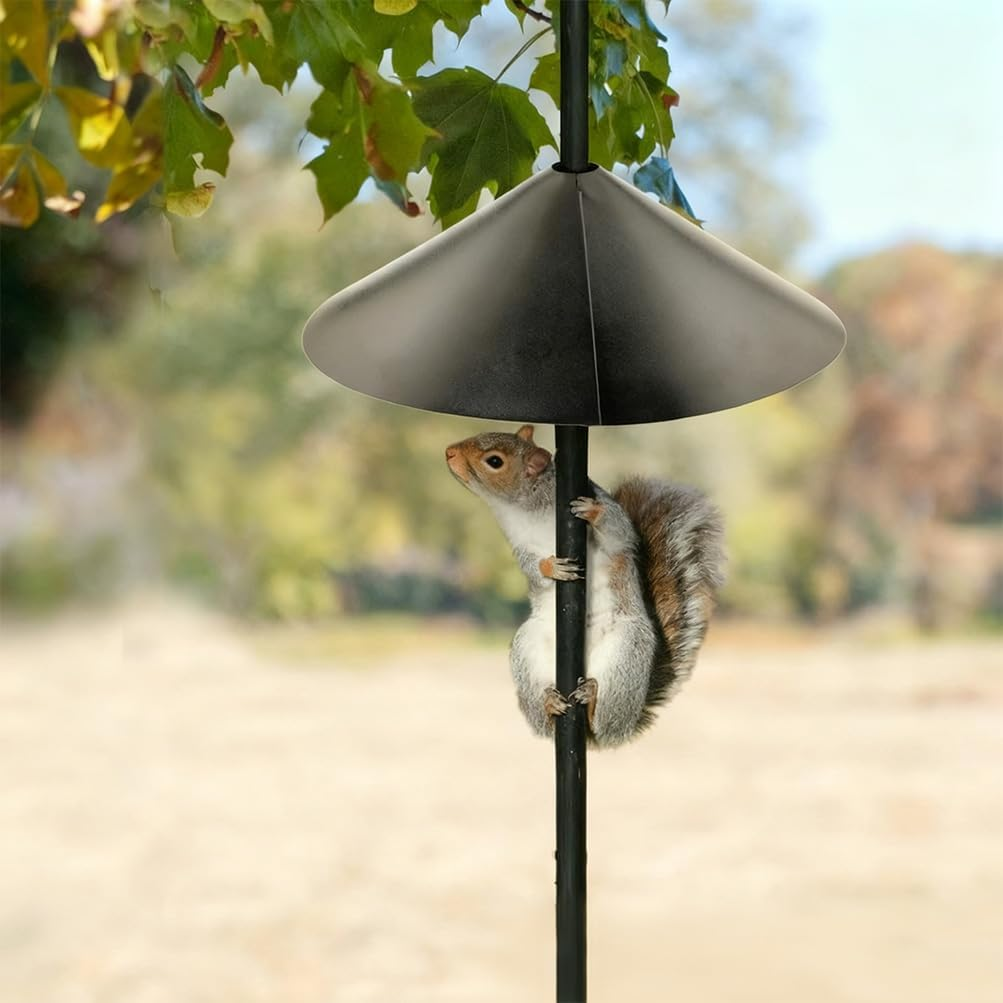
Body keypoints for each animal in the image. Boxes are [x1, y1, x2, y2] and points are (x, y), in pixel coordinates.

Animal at [445, 424, 726, 748]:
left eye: (494, 461)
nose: (449, 452)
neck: (526, 508)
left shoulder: (614, 526)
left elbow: (619, 533)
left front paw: (593, 511)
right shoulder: (520, 547)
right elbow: (532, 569)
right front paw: (551, 568)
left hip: (627, 653)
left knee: (603, 722)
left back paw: (591, 700)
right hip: (527, 649)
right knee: (545, 724)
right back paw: (549, 705)